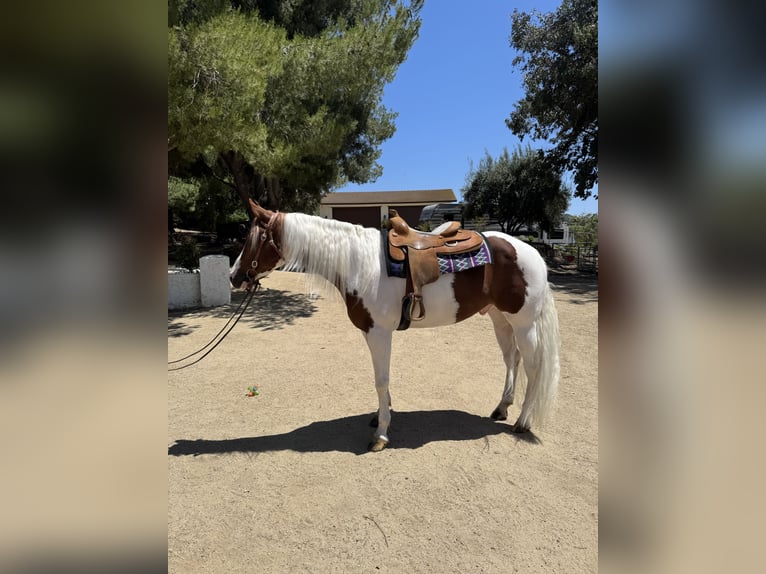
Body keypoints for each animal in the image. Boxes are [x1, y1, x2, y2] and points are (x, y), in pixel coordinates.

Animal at [230, 200, 560, 452]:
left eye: (256, 238)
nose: (235, 277)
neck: (358, 264)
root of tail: (533, 253)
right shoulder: (372, 333)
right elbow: (381, 380)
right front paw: (382, 416)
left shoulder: (379, 333)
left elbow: (381, 380)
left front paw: (381, 435)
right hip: (499, 318)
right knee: (512, 359)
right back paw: (502, 407)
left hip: (524, 323)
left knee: (533, 366)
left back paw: (522, 422)